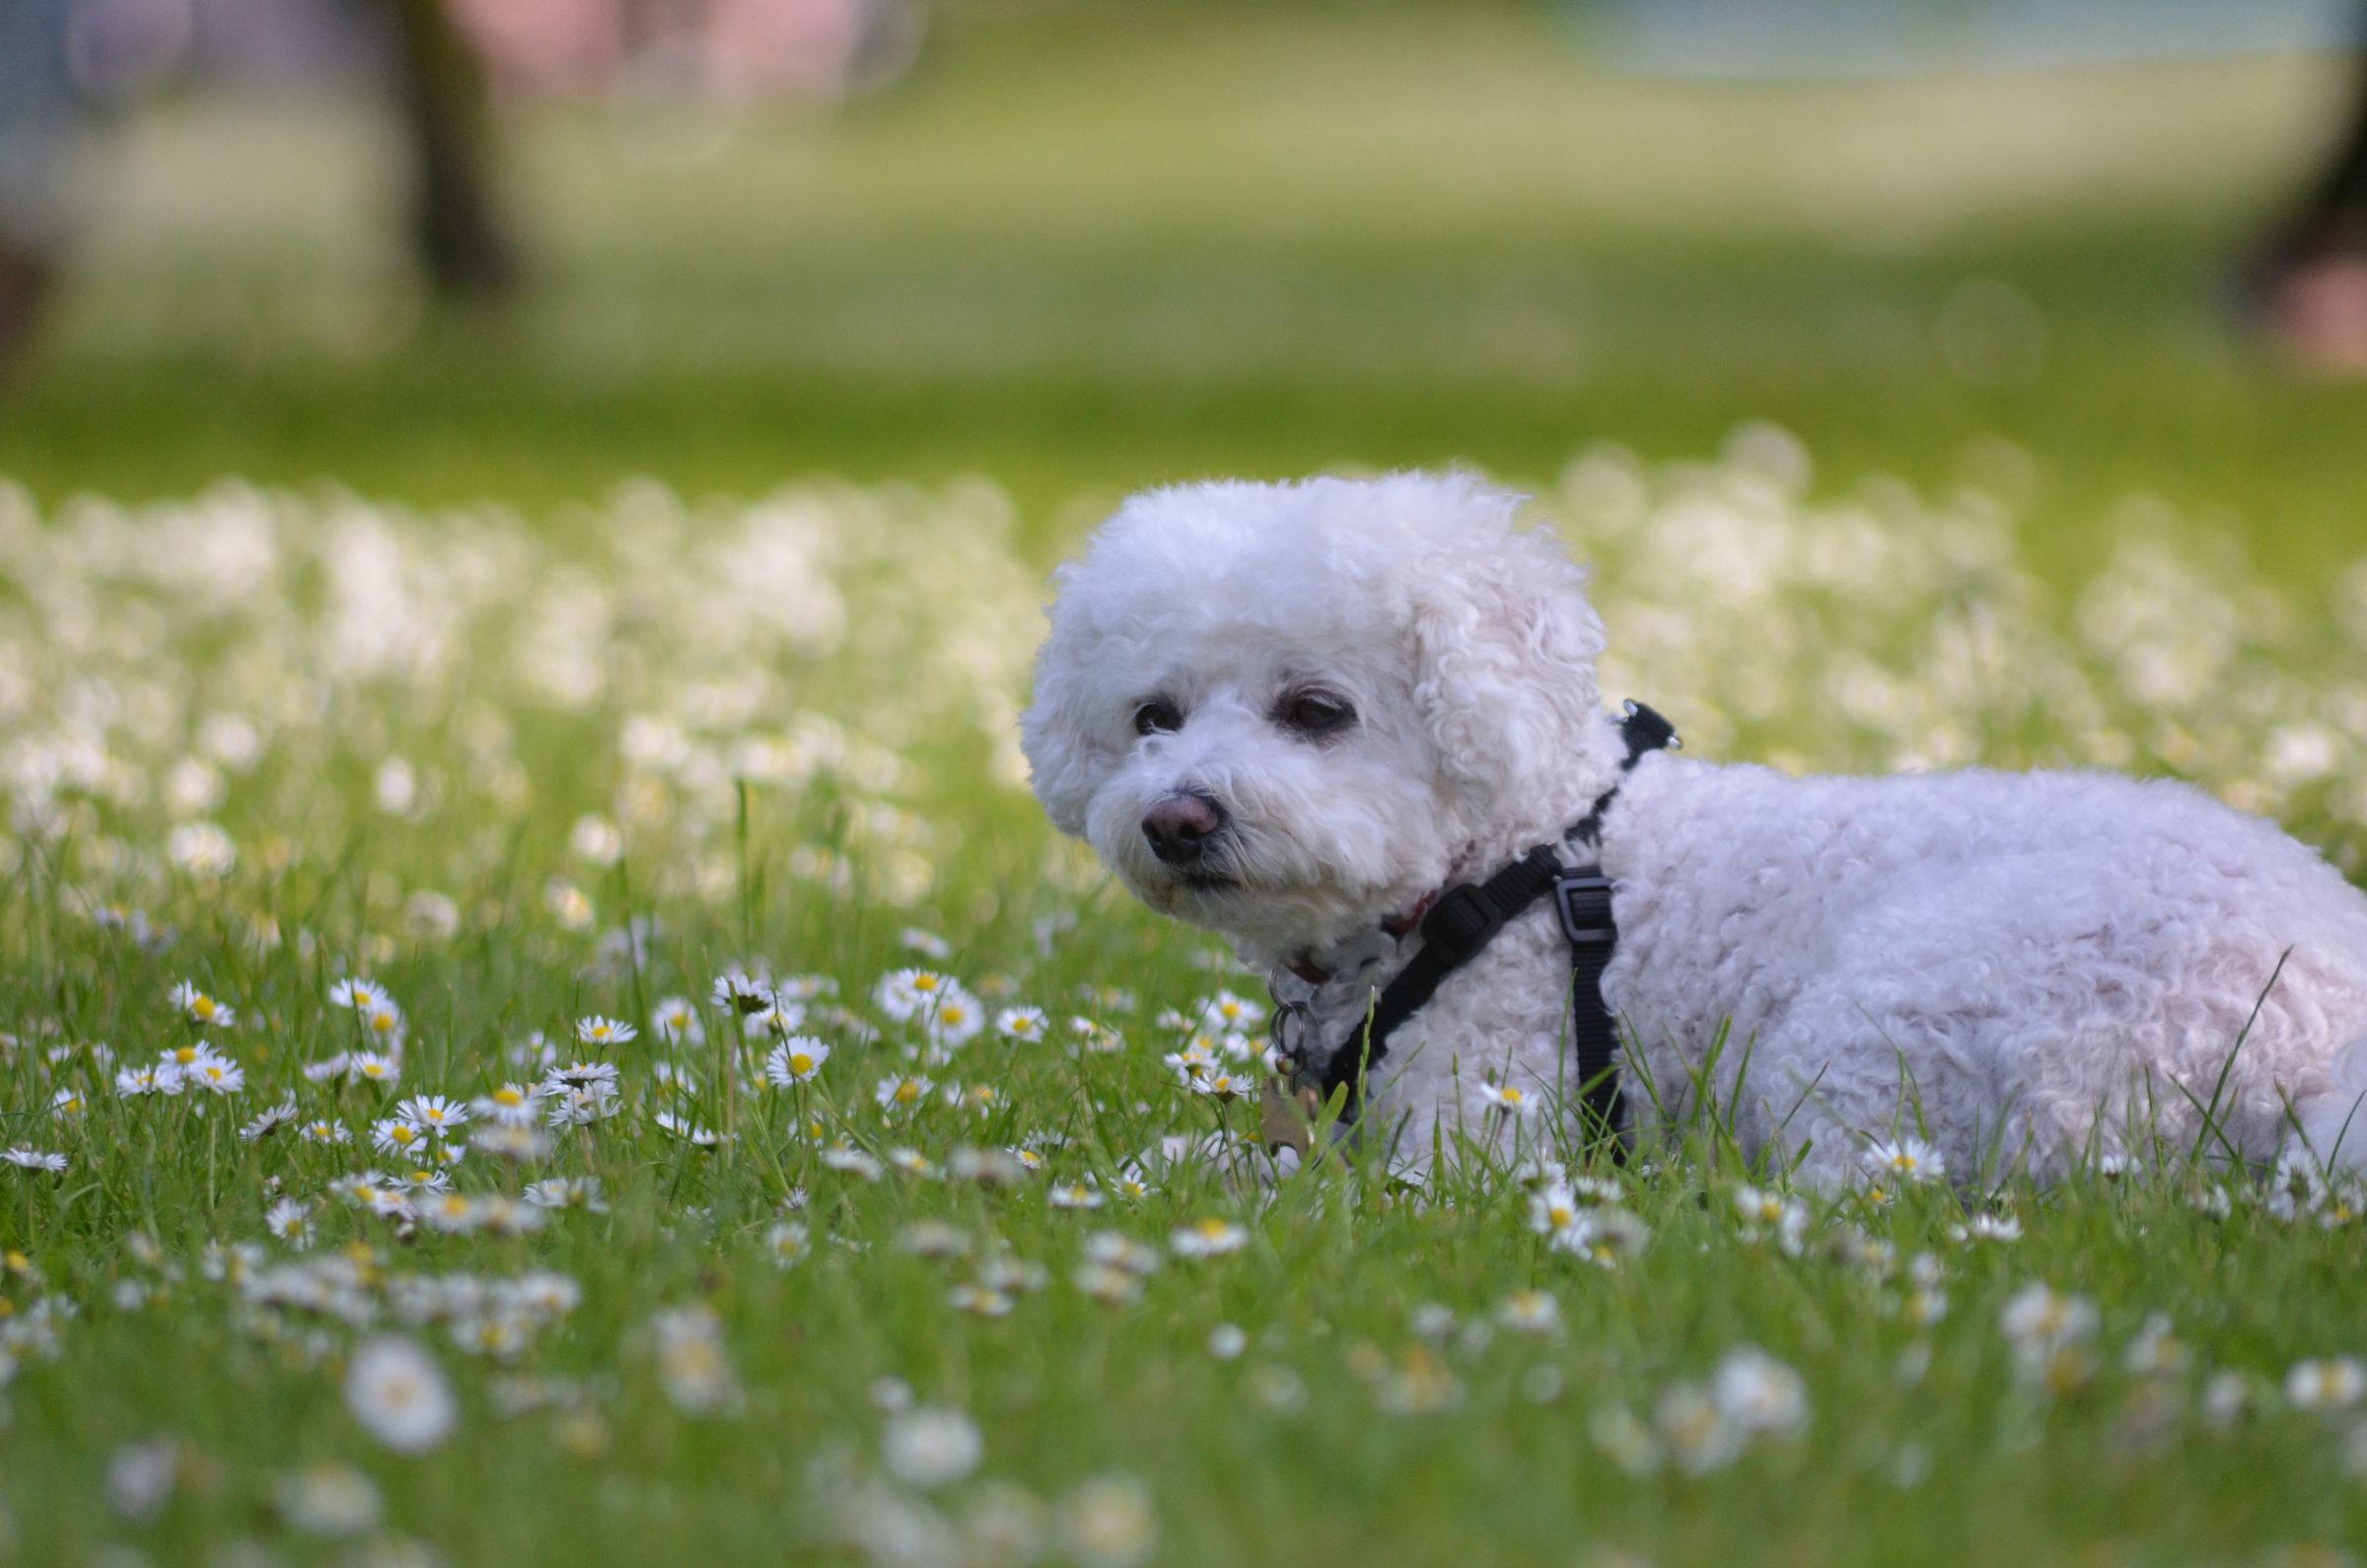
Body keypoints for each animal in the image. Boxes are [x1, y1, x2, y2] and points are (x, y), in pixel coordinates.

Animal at [1022, 475, 2367, 1193]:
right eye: (1153, 716)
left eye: (1317, 711)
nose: (1176, 816)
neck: (1508, 863)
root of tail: (2319, 1034)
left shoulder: (1481, 1125)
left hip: (1903, 1013)